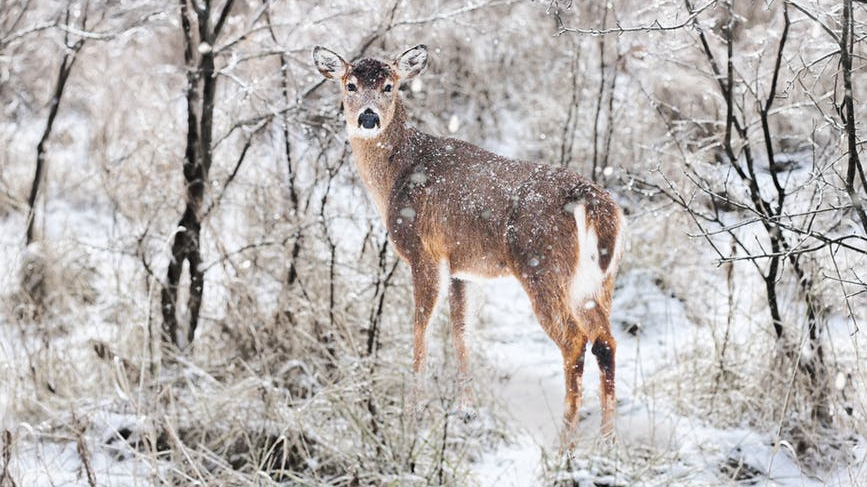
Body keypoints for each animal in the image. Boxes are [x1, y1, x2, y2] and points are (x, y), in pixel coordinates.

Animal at [313, 44, 624, 442]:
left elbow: (421, 330)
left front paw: (412, 415)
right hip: (598, 280)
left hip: (542, 267)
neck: (396, 176)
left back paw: (565, 441)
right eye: (350, 84)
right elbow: (461, 331)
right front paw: (467, 411)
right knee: (605, 341)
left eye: (389, 86)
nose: (368, 118)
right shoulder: (463, 266)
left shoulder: (424, 252)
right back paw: (607, 441)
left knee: (574, 342)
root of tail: (593, 203)